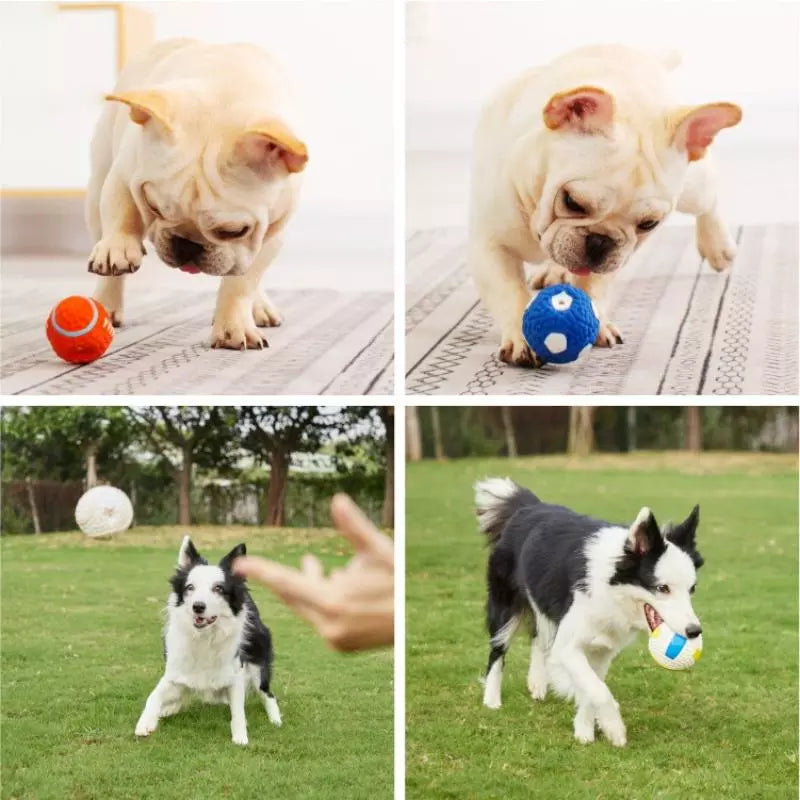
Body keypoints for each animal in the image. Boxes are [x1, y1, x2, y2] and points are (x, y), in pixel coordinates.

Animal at [468, 45, 744, 364]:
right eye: (572, 201)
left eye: (648, 224)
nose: (600, 241)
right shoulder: (490, 246)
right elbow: (509, 290)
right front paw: (523, 338)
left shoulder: (615, 257)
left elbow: (594, 284)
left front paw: (596, 321)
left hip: (692, 188)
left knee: (708, 199)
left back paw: (717, 245)